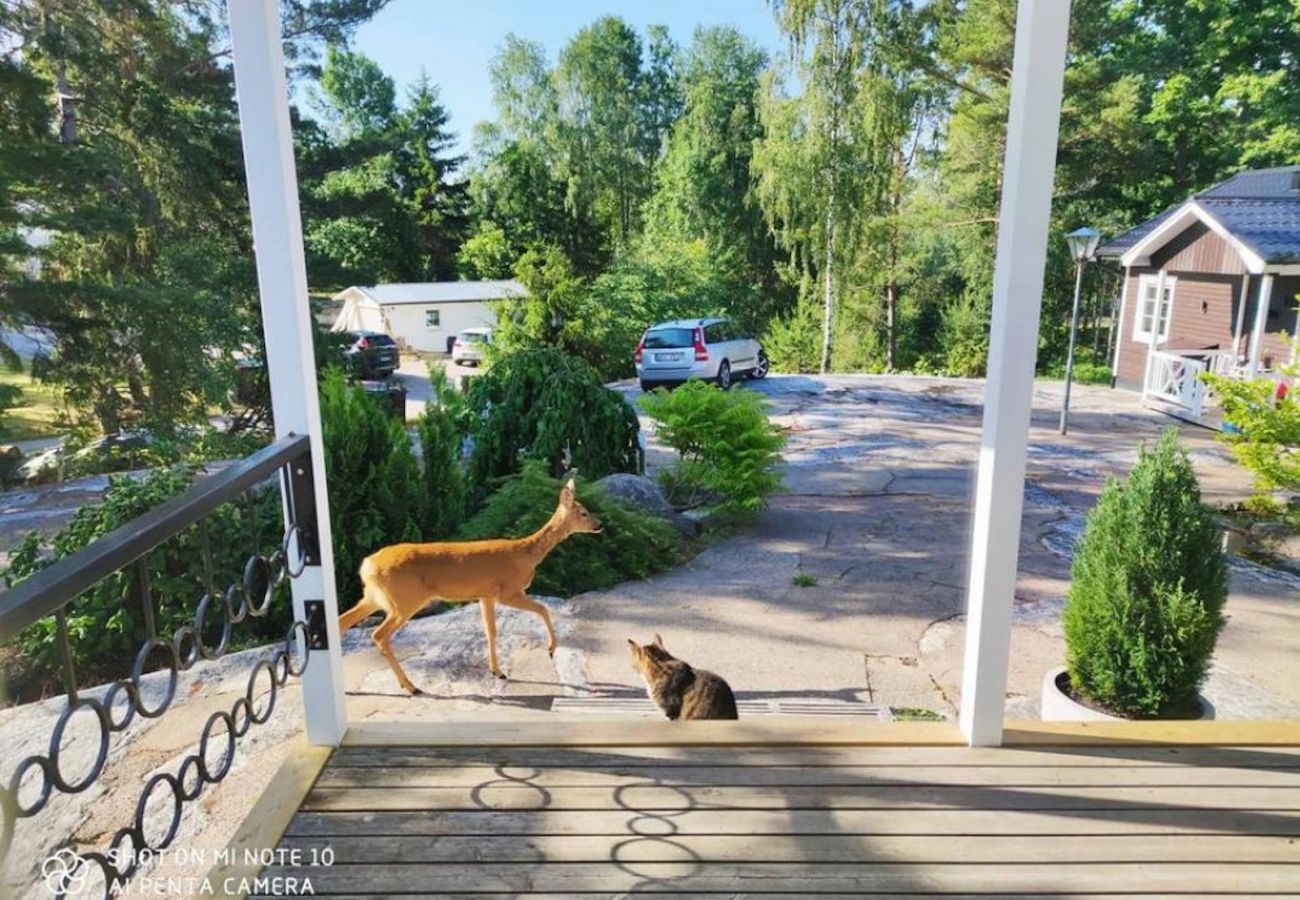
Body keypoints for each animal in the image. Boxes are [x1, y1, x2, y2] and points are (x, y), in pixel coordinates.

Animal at [332, 478, 600, 697]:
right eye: (584, 512)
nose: (600, 524)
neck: (526, 554)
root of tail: (367, 566)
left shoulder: (485, 595)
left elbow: (491, 631)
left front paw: (496, 671)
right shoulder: (508, 590)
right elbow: (543, 609)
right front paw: (551, 648)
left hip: (373, 598)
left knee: (343, 622)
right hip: (404, 600)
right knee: (378, 635)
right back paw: (410, 686)